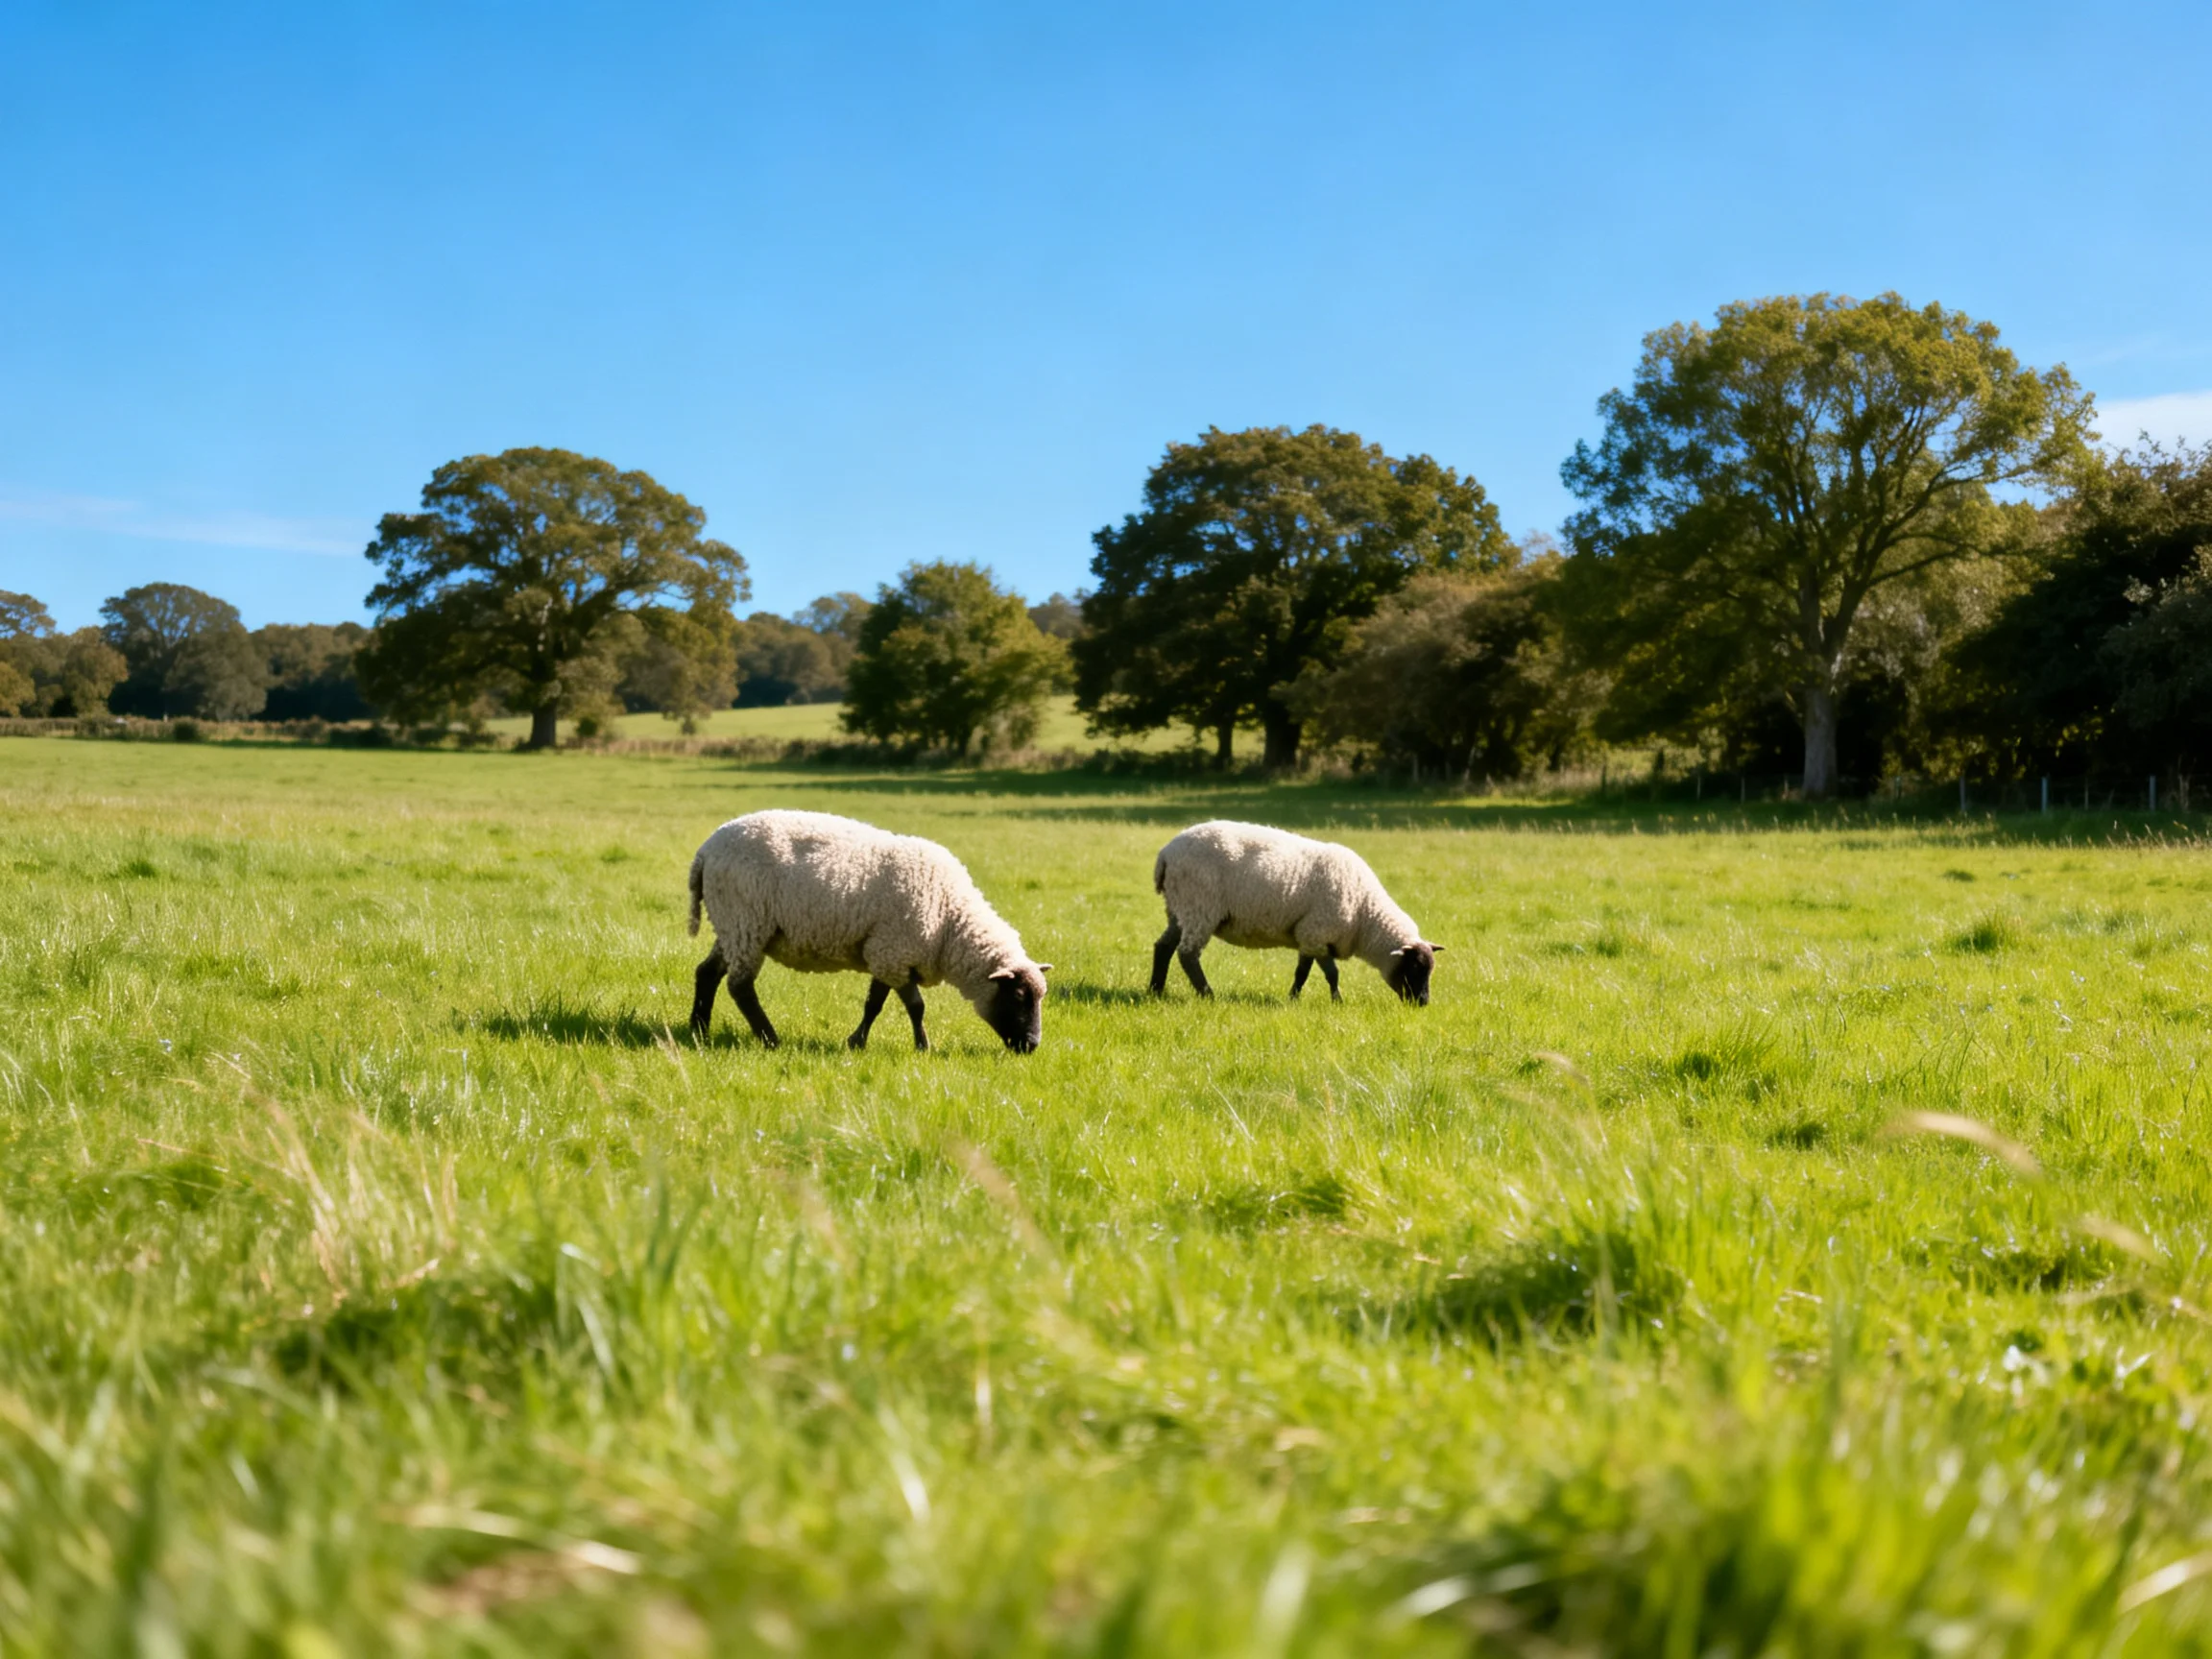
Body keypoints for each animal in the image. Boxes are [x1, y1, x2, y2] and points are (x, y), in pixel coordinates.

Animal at [687, 809, 1050, 1052]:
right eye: (1019, 996)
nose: (1032, 1045)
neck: (951, 921)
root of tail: (705, 850)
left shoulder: (885, 953)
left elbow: (874, 1004)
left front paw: (857, 1042)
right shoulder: (892, 952)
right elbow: (915, 1006)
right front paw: (922, 1046)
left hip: (732, 926)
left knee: (707, 973)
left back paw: (698, 1030)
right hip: (746, 922)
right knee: (740, 986)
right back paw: (769, 1038)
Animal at [1149, 819, 1443, 1004]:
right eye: (1414, 967)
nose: (1423, 1003)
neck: (1365, 916)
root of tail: (1166, 854)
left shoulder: (1313, 937)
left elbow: (1315, 972)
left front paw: (1312, 999)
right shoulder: (1315, 932)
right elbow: (1319, 973)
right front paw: (1319, 1000)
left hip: (1179, 910)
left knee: (1163, 947)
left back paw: (1156, 990)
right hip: (1200, 907)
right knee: (1187, 955)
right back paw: (1207, 994)